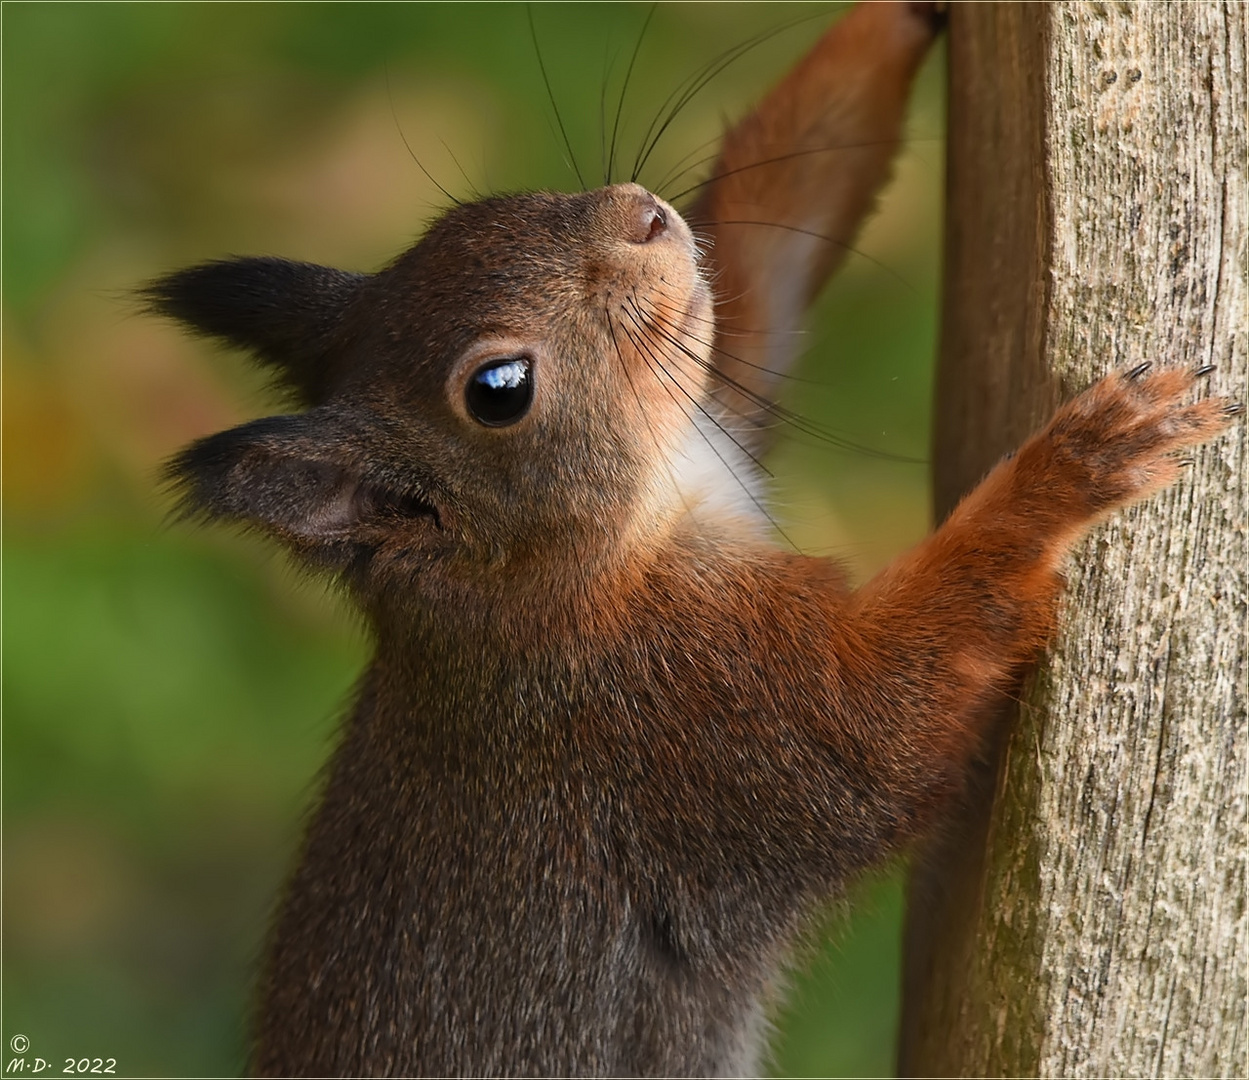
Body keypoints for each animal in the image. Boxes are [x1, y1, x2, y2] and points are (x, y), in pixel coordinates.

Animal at [143, 4, 1229, 1073]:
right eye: (498, 390)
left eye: (478, 214)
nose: (643, 216)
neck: (560, 569)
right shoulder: (690, 712)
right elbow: (884, 720)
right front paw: (1078, 461)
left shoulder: (710, 398)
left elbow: (758, 251)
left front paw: (899, 19)